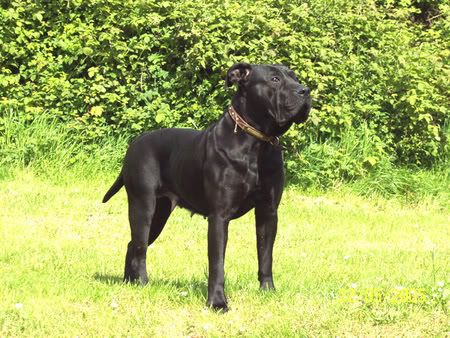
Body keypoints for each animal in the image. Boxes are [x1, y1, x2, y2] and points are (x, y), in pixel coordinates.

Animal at [103, 63, 312, 312]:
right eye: (274, 79)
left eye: (295, 77)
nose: (305, 91)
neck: (256, 145)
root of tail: (134, 143)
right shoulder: (219, 217)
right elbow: (217, 263)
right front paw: (217, 302)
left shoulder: (268, 212)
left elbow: (265, 255)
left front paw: (268, 291)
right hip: (143, 207)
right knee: (140, 247)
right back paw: (143, 282)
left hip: (160, 213)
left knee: (132, 244)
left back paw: (129, 282)